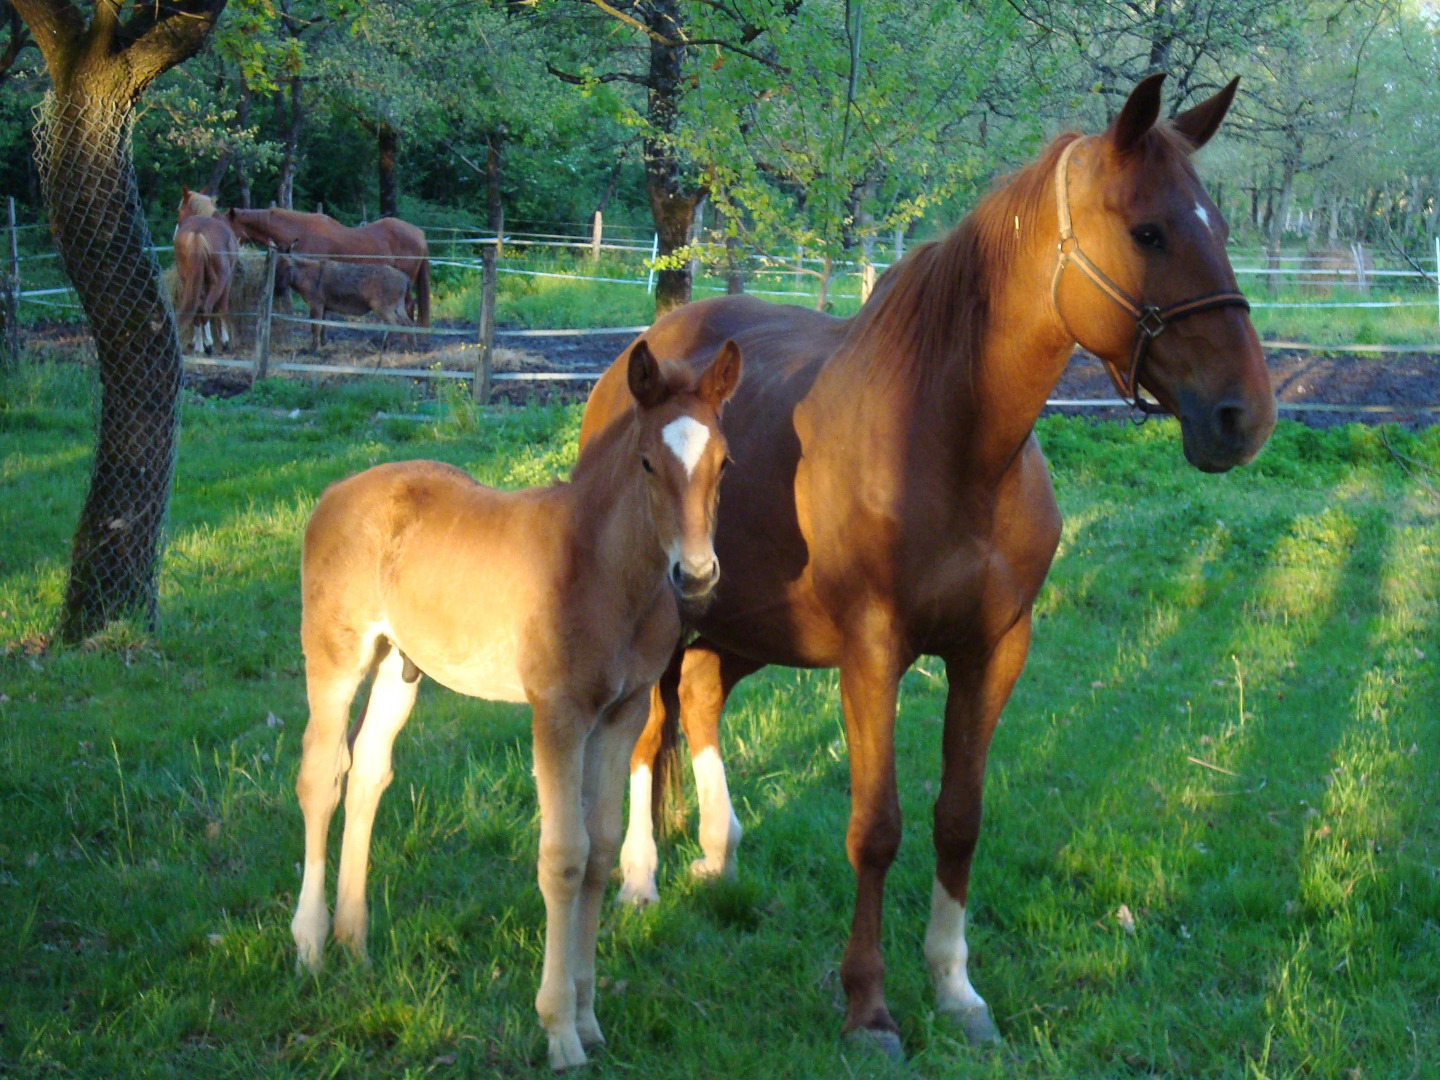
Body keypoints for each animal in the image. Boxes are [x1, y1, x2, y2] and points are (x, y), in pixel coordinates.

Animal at [172, 215, 239, 355]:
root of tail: (197, 233)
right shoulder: (228, 280)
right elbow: (223, 307)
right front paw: (225, 342)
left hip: (188, 282)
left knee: (197, 306)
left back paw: (200, 346)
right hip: (219, 282)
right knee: (206, 307)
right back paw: (209, 345)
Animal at [290, 339, 742, 1070]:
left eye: (724, 461)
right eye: (648, 461)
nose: (697, 575)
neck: (603, 570)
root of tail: (334, 492)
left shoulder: (621, 713)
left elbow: (602, 848)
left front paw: (589, 1019)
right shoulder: (557, 713)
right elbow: (563, 857)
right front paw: (559, 1031)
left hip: (399, 665)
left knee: (367, 777)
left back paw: (354, 942)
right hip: (335, 657)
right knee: (320, 779)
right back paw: (308, 942)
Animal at [576, 74, 1275, 1056]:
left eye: (1217, 223)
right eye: (1150, 232)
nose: (1244, 416)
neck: (951, 445)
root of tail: (642, 357)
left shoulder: (993, 650)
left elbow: (958, 820)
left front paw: (955, 988)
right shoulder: (873, 655)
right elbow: (876, 829)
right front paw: (867, 1007)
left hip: (736, 623)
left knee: (703, 702)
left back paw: (718, 855)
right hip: (668, 619)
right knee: (646, 731)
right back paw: (639, 879)